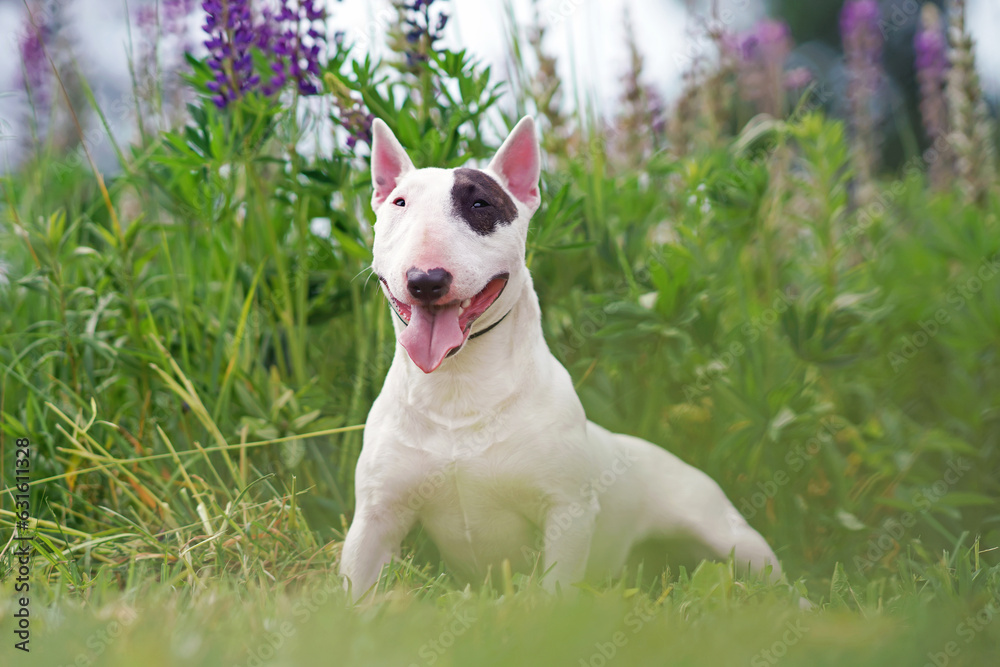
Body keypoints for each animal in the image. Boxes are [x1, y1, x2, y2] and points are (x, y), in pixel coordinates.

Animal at [340, 117, 792, 604]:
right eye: (400, 203)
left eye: (480, 203)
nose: (426, 280)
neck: (458, 386)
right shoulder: (375, 516)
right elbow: (354, 590)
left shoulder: (566, 512)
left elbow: (555, 591)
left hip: (730, 535)